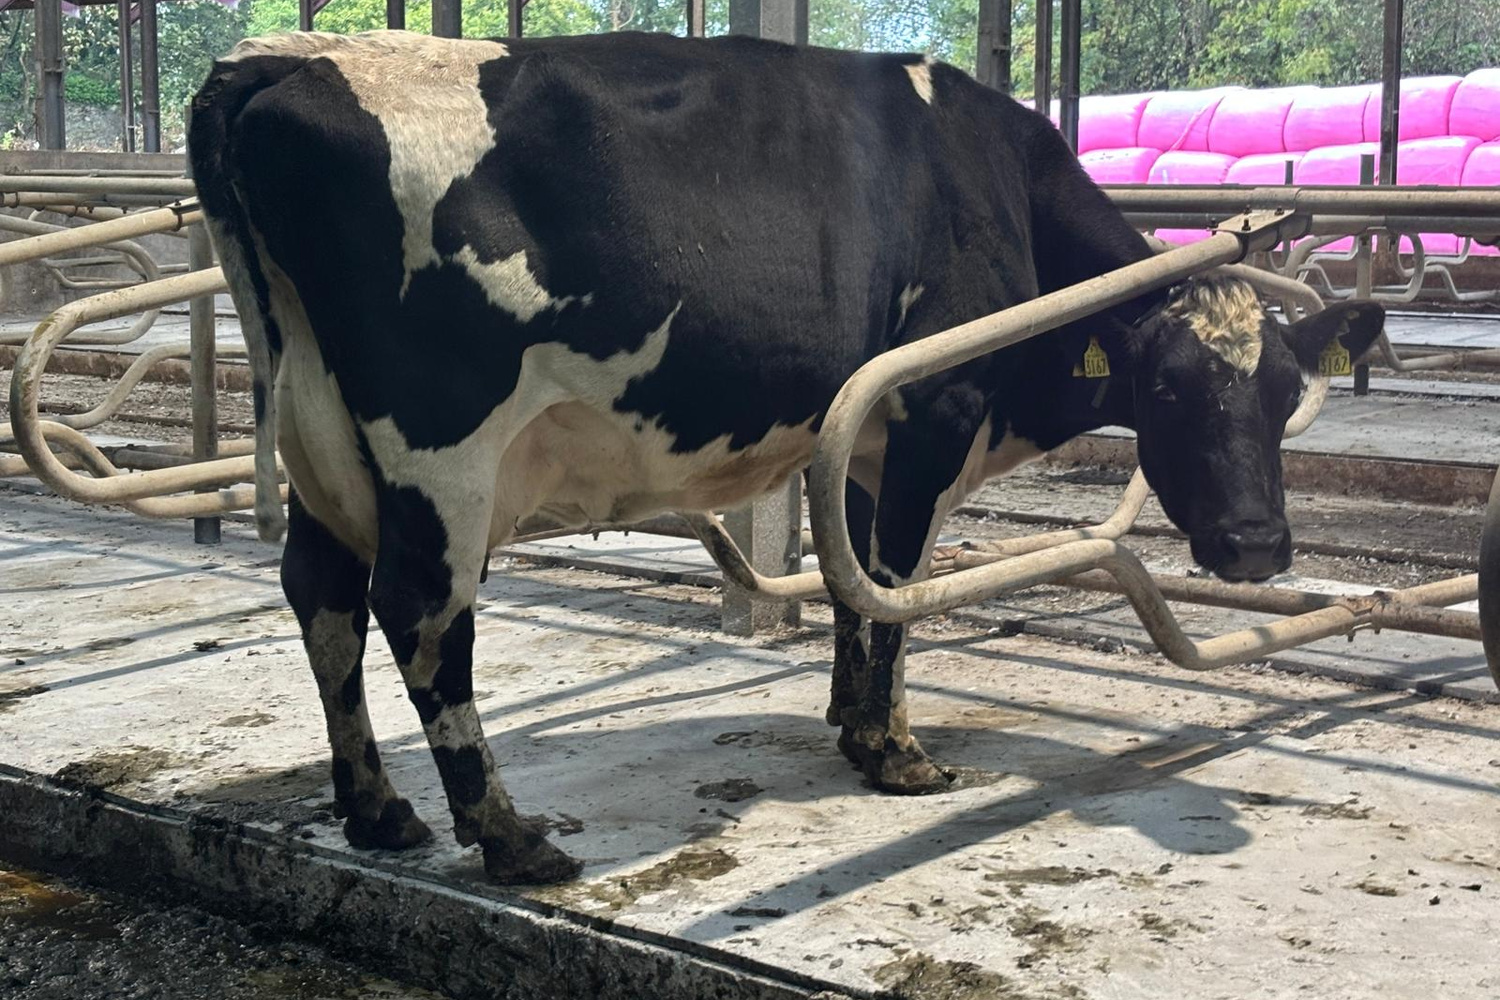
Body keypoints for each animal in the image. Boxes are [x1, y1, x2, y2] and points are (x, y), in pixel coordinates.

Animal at [188, 30, 1384, 884]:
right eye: (1171, 392)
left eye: (1284, 394)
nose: (1258, 546)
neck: (991, 184)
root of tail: (278, 65)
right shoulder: (935, 407)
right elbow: (896, 583)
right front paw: (900, 754)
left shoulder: (861, 441)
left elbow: (854, 583)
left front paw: (854, 728)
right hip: (441, 446)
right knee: (423, 614)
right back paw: (507, 836)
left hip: (319, 438)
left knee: (321, 592)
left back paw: (377, 810)